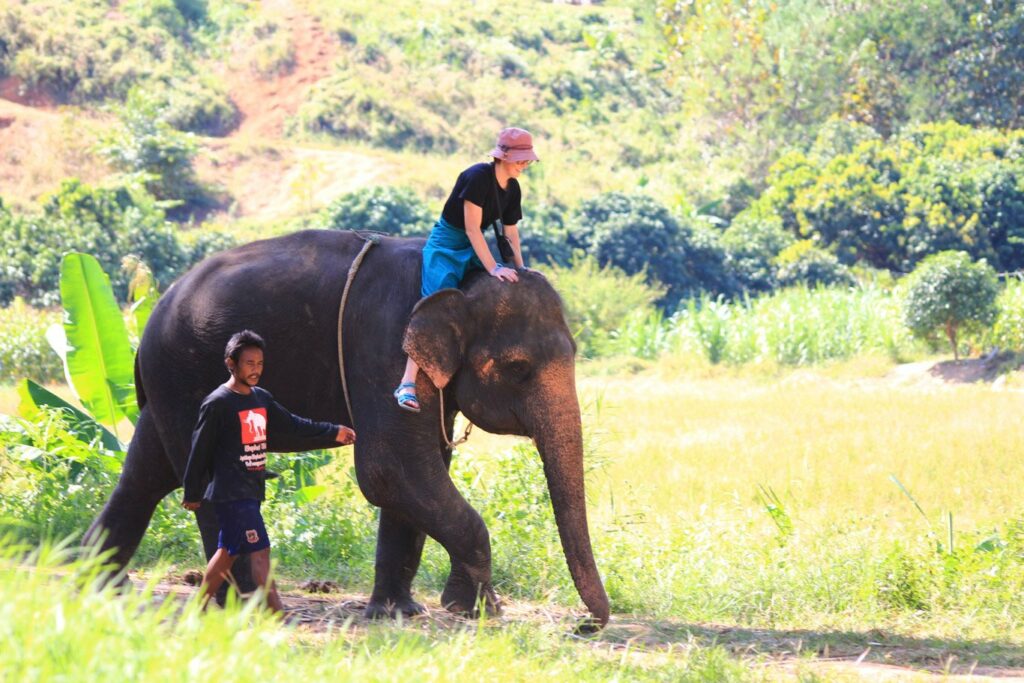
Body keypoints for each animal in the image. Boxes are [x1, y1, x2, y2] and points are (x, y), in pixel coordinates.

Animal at [84, 229, 610, 629]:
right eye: (519, 368)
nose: (587, 625)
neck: (464, 279)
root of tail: (149, 319)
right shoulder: (385, 347)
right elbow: (390, 468)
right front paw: (476, 609)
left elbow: (417, 471)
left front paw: (401, 612)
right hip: (185, 374)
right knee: (203, 484)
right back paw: (243, 606)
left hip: (172, 386)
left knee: (148, 475)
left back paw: (92, 579)